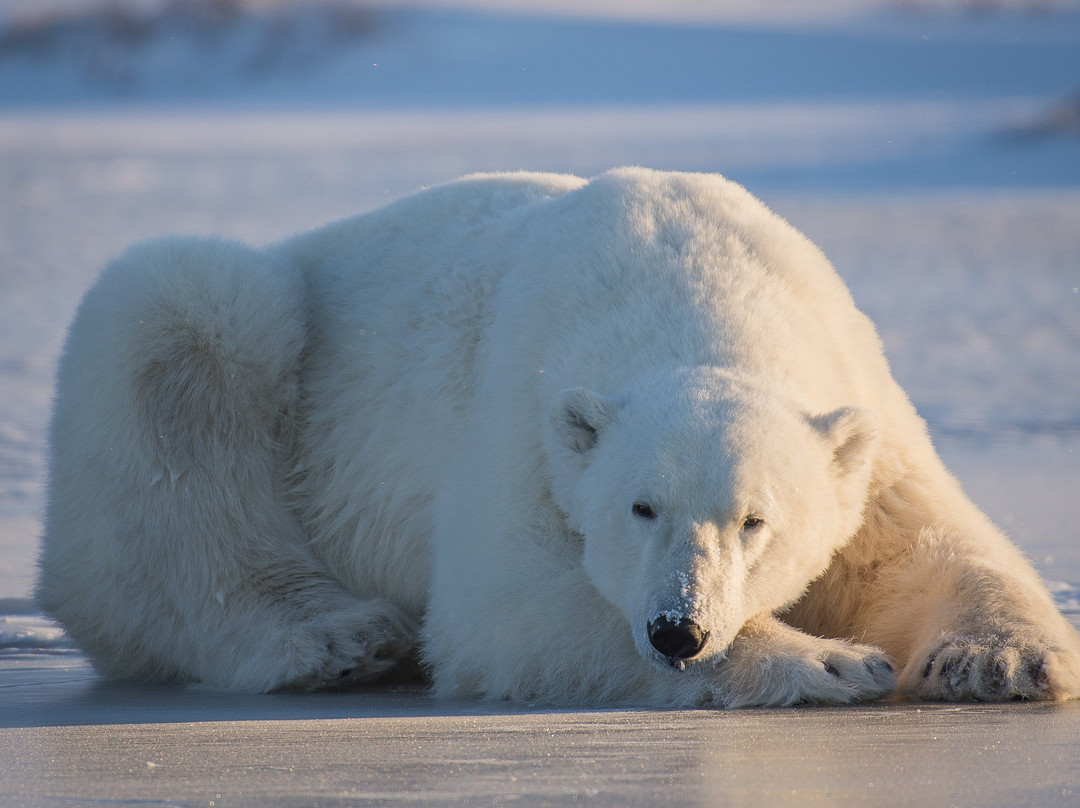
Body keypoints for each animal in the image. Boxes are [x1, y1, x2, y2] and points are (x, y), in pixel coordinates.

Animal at [38, 170, 1080, 708]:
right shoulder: (521, 416)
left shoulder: (863, 398)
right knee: (188, 323)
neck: (693, 287)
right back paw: (339, 635)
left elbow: (918, 543)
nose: (679, 630)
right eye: (640, 507)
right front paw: (831, 660)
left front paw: (997, 661)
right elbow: (506, 603)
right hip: (236, 345)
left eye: (756, 520)